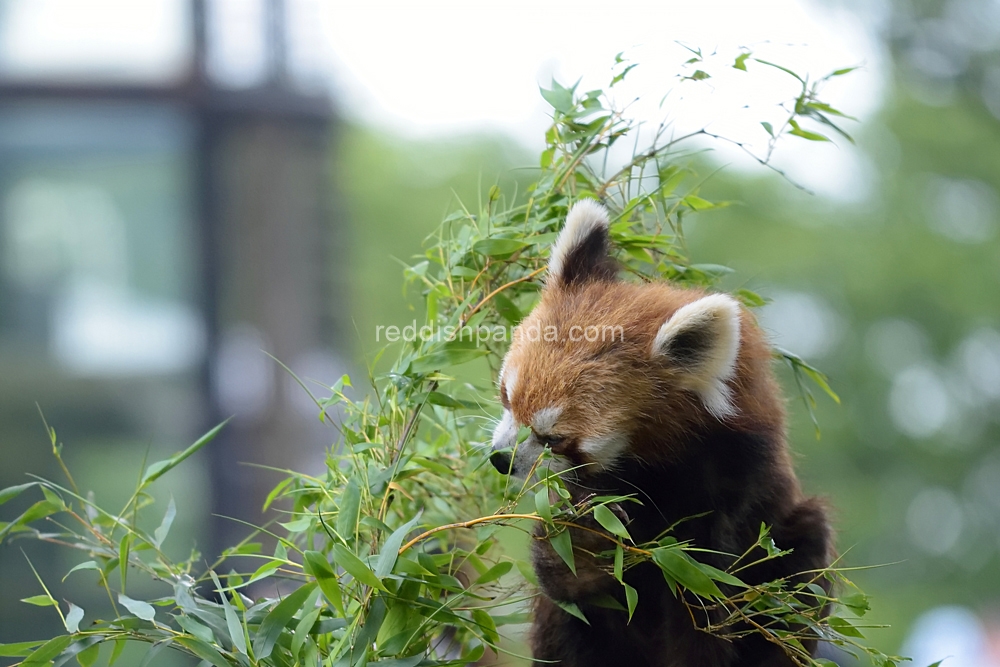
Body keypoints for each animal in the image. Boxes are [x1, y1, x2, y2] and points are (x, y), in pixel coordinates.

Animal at [488, 202, 832, 667]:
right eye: (506, 396)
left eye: (554, 437)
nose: (500, 458)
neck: (654, 467)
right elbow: (571, 586)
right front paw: (582, 545)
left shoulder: (727, 489)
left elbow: (704, 603)